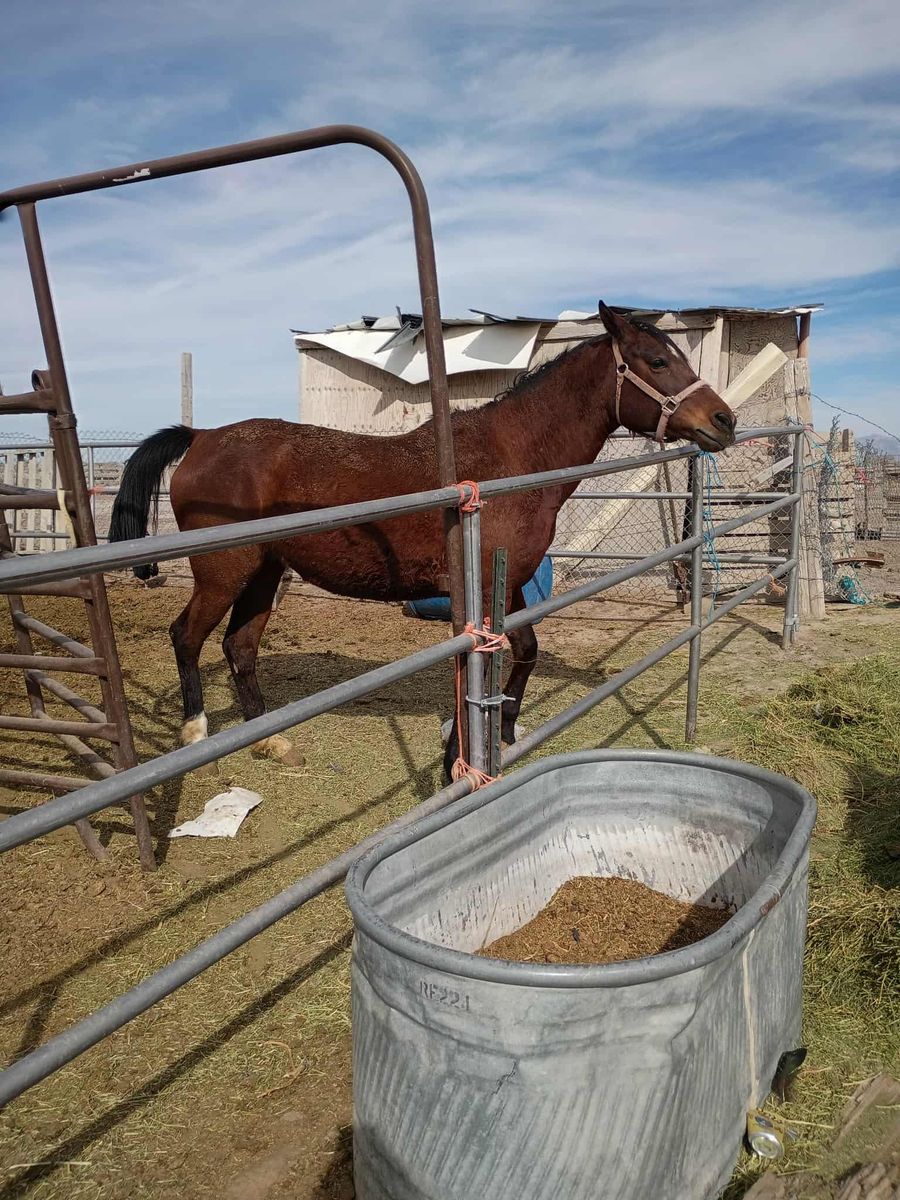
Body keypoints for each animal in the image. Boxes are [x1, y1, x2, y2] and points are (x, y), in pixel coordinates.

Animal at [108, 303, 736, 780]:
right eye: (658, 360)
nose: (724, 421)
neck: (510, 460)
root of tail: (202, 437)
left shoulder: (508, 585)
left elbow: (525, 651)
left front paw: (506, 728)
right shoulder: (472, 592)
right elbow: (471, 665)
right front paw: (457, 760)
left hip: (264, 574)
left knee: (239, 647)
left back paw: (270, 741)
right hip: (222, 572)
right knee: (186, 637)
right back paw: (196, 736)